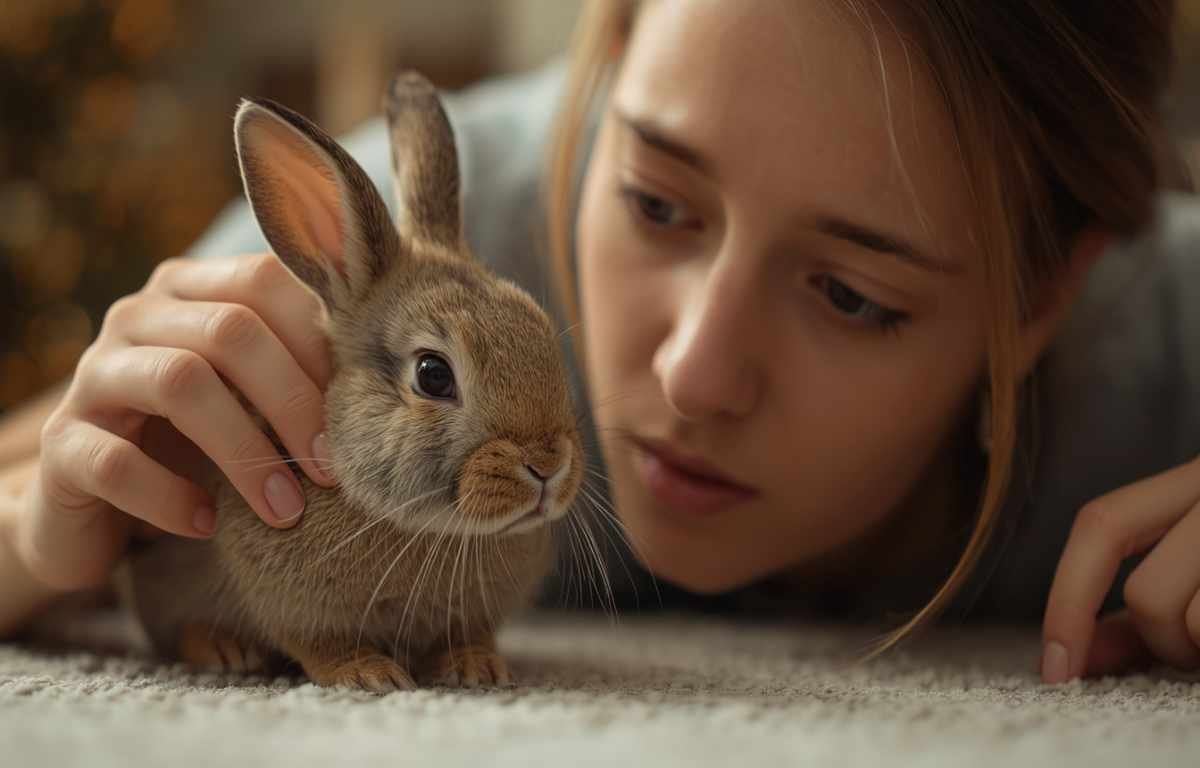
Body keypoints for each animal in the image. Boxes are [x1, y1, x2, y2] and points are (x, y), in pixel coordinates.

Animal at [113, 71, 584, 693]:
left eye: (541, 329)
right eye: (433, 375)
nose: (548, 465)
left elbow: (465, 634)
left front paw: (477, 666)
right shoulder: (289, 603)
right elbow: (319, 644)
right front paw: (369, 675)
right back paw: (224, 650)